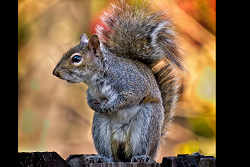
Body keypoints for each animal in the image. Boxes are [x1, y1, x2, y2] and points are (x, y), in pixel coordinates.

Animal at [52, 0, 186, 163]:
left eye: (76, 58)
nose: (56, 72)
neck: (96, 80)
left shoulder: (132, 85)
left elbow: (129, 98)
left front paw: (109, 106)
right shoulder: (91, 92)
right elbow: (90, 99)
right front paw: (93, 105)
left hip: (147, 122)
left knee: (142, 148)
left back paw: (141, 157)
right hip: (100, 127)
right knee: (110, 155)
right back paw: (101, 158)